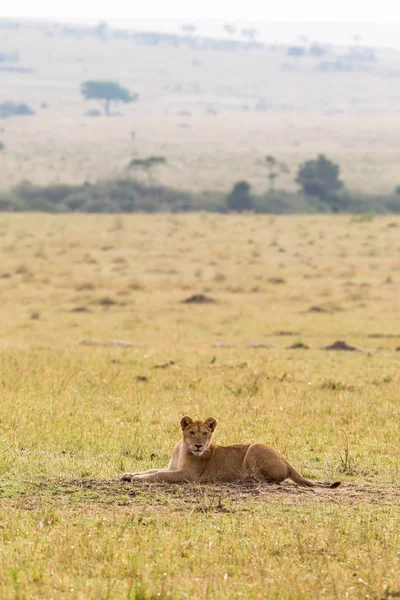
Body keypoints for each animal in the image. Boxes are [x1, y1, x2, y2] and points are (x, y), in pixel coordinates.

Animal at [121, 418, 340, 488]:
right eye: (192, 432)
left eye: (205, 434)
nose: (199, 446)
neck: (183, 448)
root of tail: (287, 462)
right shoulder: (172, 467)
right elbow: (152, 469)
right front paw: (129, 474)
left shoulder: (188, 475)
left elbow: (159, 475)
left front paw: (139, 479)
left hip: (255, 446)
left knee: (266, 480)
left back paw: (243, 479)